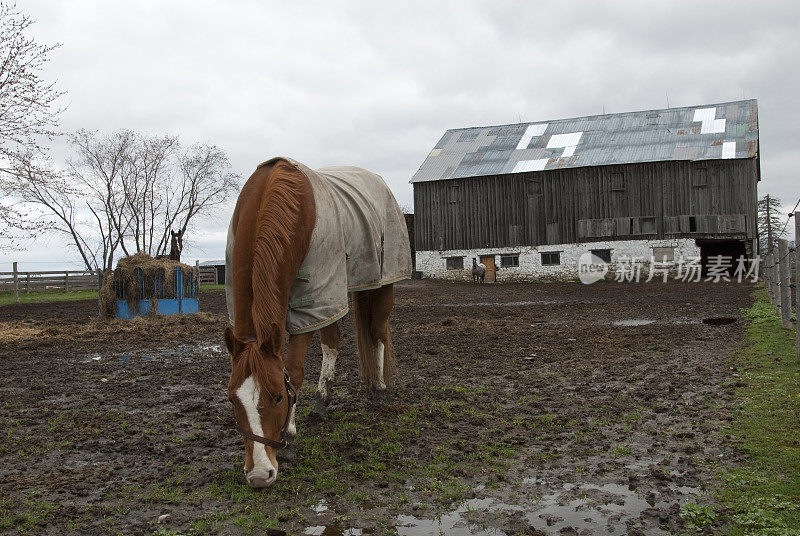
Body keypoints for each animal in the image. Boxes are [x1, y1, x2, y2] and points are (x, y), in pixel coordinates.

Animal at [225, 157, 412, 488]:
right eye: (233, 400)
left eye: (278, 397)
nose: (259, 475)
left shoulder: (311, 302)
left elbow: (295, 371)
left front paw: (289, 435)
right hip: (335, 297)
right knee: (332, 343)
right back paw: (322, 401)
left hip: (380, 284)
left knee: (377, 332)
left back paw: (378, 390)